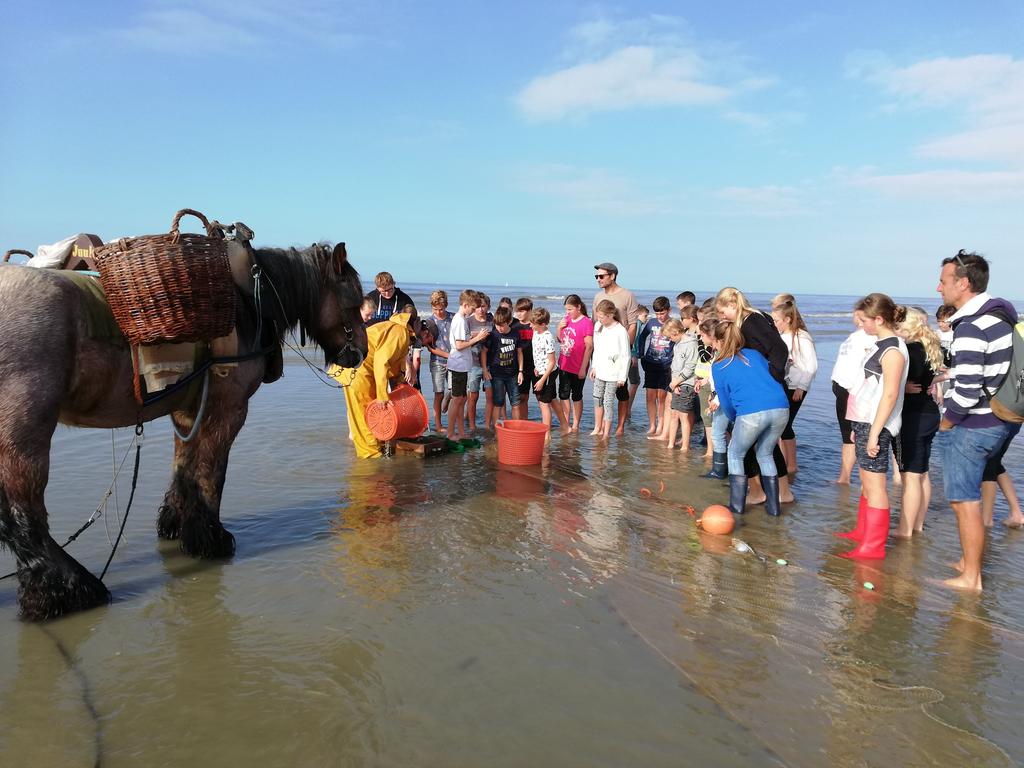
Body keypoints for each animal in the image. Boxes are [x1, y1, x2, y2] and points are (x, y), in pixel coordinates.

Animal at [0, 243, 368, 622]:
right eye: (354, 300)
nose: (362, 351)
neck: (247, 301)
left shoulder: (188, 412)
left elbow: (184, 468)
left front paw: (176, 524)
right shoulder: (228, 410)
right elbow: (211, 475)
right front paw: (209, 537)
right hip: (27, 427)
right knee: (22, 511)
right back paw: (67, 587)